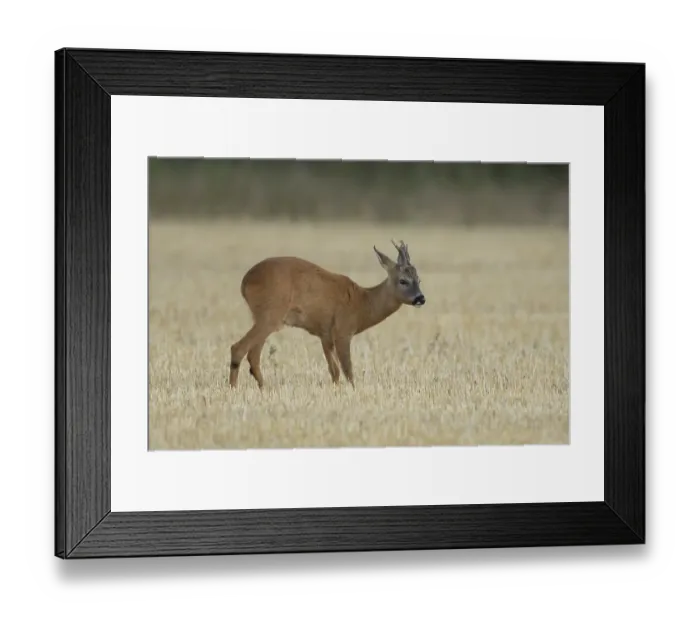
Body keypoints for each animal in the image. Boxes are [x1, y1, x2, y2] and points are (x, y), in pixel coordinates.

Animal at [228, 240, 425, 389]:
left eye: (419, 280)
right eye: (403, 281)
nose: (420, 298)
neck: (362, 304)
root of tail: (245, 281)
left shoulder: (325, 335)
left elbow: (334, 371)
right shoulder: (343, 331)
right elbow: (348, 370)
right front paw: (354, 392)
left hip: (263, 316)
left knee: (253, 355)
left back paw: (264, 389)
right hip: (271, 314)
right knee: (238, 348)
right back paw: (234, 389)